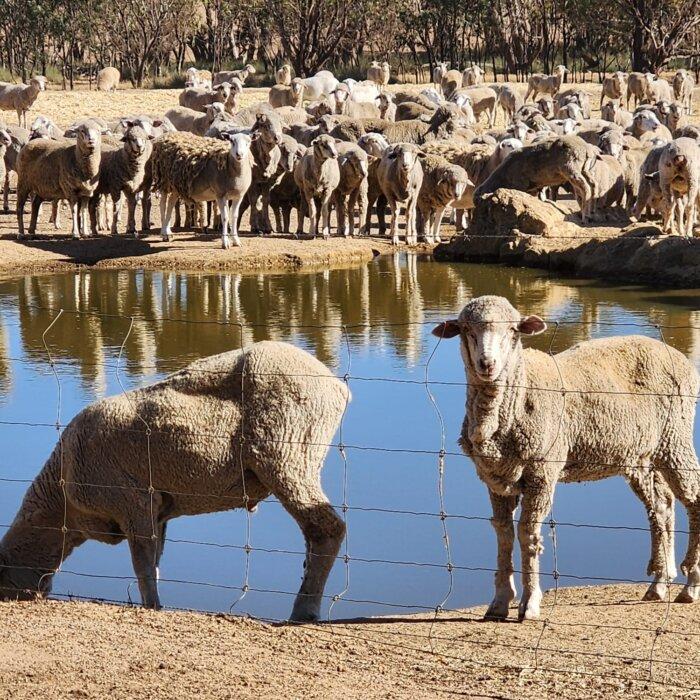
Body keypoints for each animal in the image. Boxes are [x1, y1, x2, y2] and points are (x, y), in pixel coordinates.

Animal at [0, 341, 349, 621]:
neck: (62, 506)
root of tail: (337, 386)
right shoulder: (158, 509)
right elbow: (154, 563)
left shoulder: (132, 502)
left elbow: (143, 567)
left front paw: (152, 607)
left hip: (287, 452)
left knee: (327, 529)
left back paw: (304, 610)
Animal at [432, 295, 700, 621]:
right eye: (466, 330)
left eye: (512, 331)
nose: (487, 364)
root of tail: (675, 353)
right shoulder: (495, 478)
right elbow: (503, 533)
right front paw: (500, 601)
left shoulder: (542, 472)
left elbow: (528, 533)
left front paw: (529, 603)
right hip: (640, 454)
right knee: (661, 505)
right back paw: (660, 582)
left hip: (675, 437)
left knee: (695, 500)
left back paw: (691, 584)